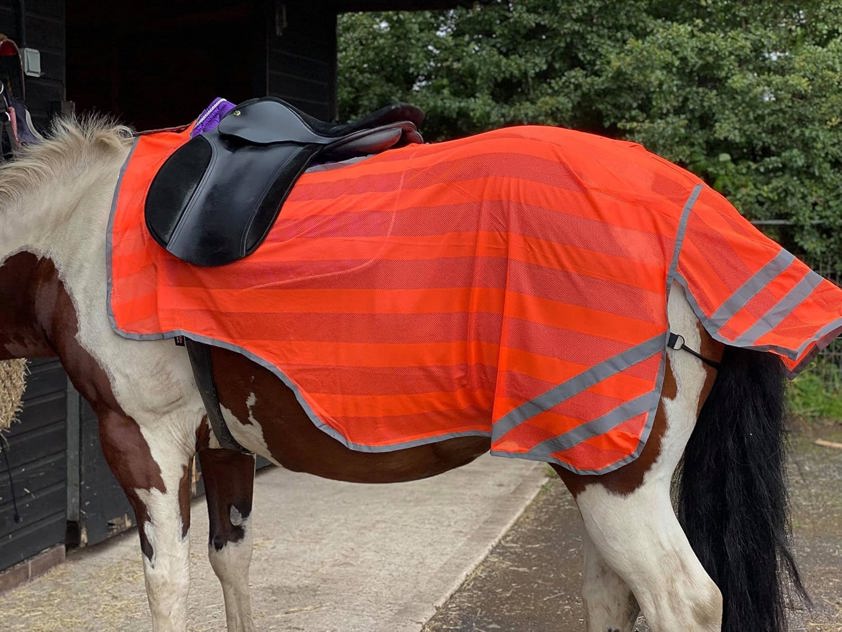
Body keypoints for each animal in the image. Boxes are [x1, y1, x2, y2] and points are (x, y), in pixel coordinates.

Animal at [0, 115, 820, 632]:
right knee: (610, 595)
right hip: (593, 468)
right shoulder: (222, 444)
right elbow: (231, 565)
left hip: (617, 477)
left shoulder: (143, 437)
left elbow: (167, 584)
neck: (78, 233)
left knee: (684, 601)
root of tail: (697, 211)